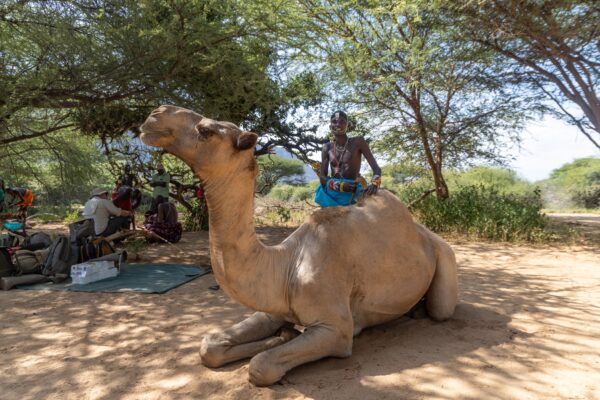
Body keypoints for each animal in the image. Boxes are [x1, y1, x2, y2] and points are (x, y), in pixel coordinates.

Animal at [139, 105, 458, 386]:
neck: (287, 263)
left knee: (442, 309)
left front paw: (282, 339)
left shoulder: (336, 329)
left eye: (206, 130)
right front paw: (285, 334)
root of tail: (425, 233)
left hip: (445, 257)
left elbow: (261, 366)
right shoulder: (273, 307)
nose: (155, 114)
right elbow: (210, 346)